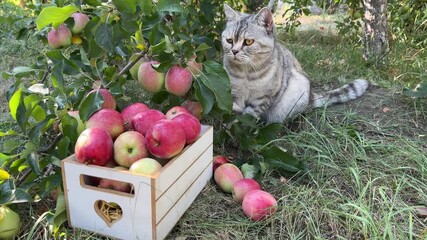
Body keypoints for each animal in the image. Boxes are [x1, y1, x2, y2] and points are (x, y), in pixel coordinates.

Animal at [222, 3, 370, 124]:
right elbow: (233, 114)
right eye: (229, 40)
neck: (245, 74)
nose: (234, 51)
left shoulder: (263, 98)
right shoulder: (233, 95)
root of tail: (311, 96)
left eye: (248, 42)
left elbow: (247, 116)